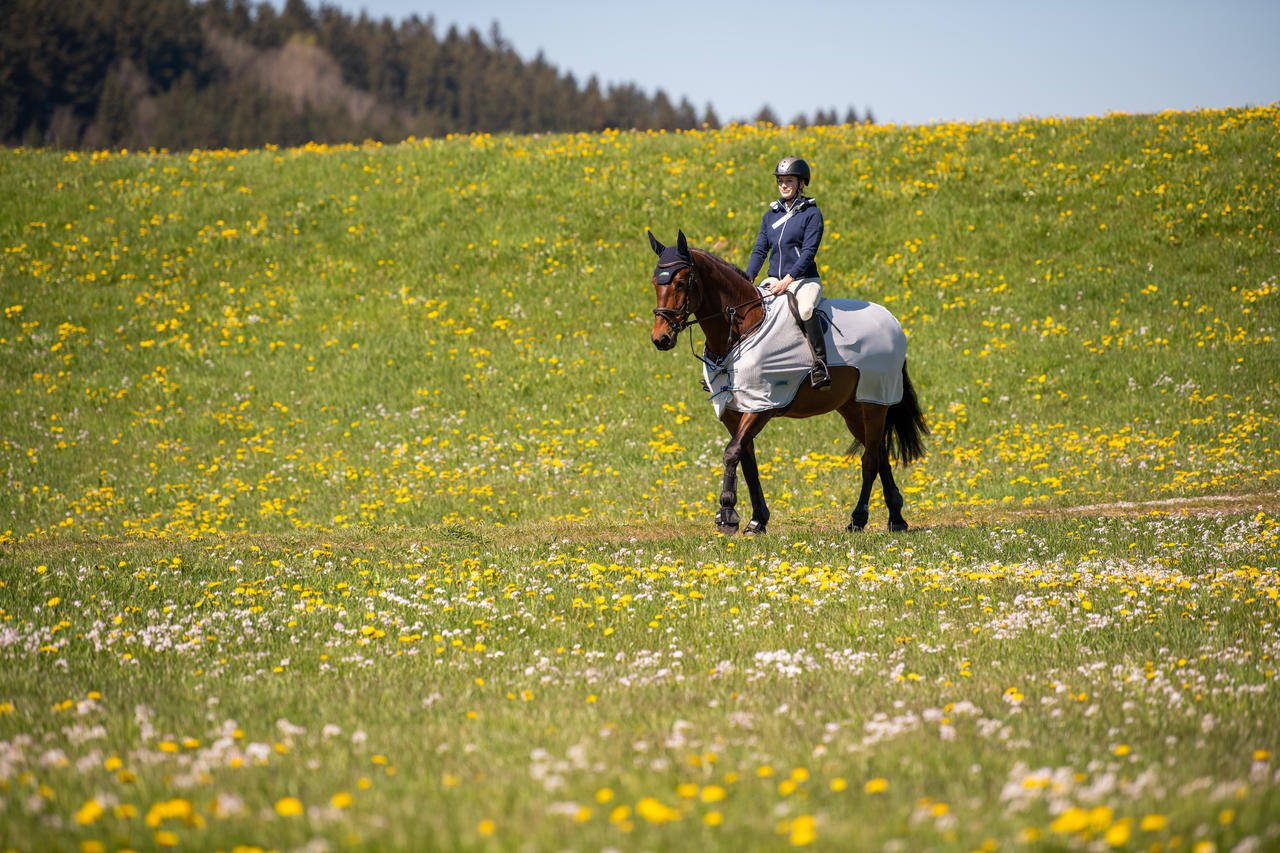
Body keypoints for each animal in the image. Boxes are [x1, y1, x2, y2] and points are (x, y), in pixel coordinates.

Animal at [645, 227, 926, 532]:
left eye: (680, 282)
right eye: (655, 282)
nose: (660, 339)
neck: (742, 329)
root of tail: (891, 322)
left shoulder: (762, 406)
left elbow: (731, 453)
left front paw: (727, 513)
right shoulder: (733, 410)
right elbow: (747, 462)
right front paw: (757, 520)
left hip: (875, 401)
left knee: (871, 458)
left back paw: (858, 518)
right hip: (852, 407)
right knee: (880, 453)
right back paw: (896, 518)